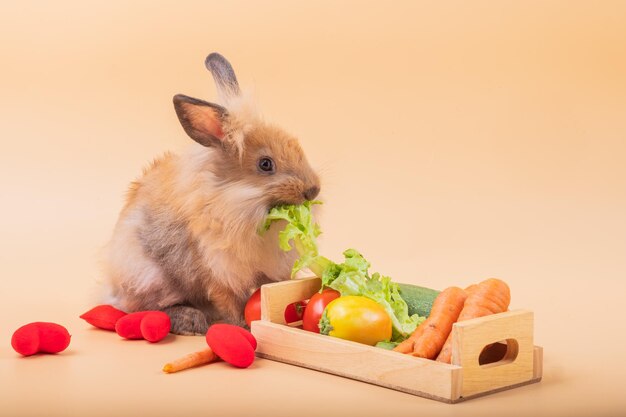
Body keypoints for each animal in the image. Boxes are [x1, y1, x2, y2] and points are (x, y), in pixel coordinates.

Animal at [102, 52, 320, 334]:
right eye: (265, 164)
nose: (313, 190)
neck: (230, 199)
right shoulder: (218, 272)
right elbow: (228, 301)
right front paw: (243, 326)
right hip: (149, 276)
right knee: (143, 307)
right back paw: (189, 320)